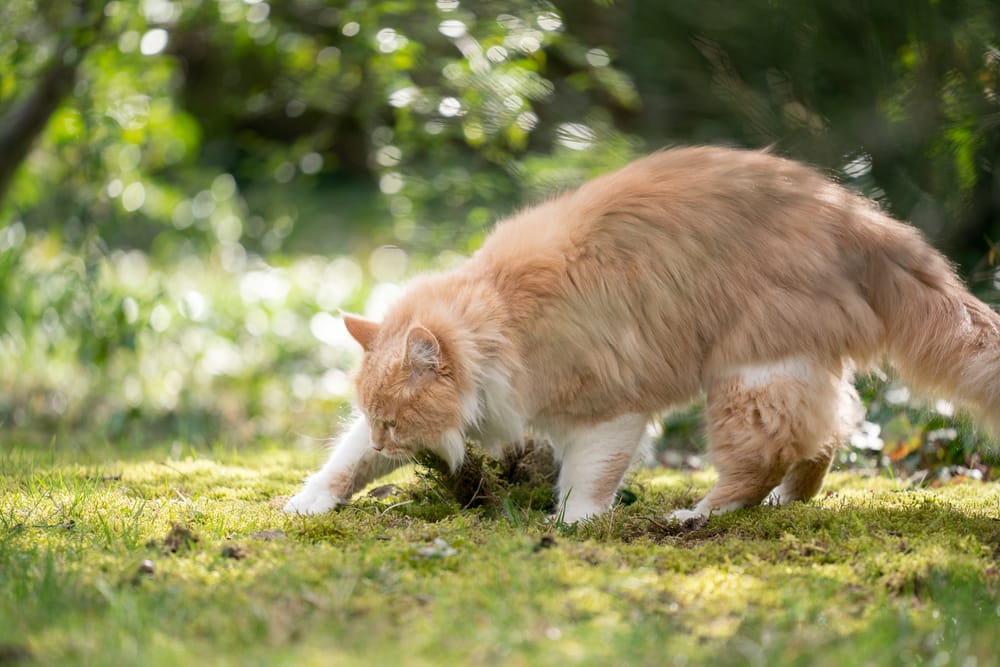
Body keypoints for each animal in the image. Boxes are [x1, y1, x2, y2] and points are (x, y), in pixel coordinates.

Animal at [282, 147, 1000, 528]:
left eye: (396, 423)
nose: (385, 440)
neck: (501, 320)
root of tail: (857, 214)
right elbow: (342, 463)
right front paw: (308, 502)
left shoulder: (611, 411)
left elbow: (586, 482)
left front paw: (573, 525)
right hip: (791, 370)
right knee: (827, 435)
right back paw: (786, 502)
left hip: (747, 377)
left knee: (762, 457)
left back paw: (703, 513)